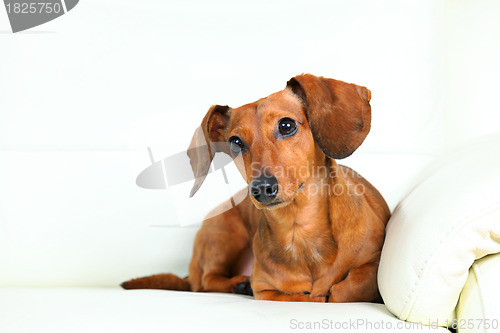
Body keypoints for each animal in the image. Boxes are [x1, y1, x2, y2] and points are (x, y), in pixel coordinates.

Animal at [121, 74, 390, 302]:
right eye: (235, 142)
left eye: (286, 126)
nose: (261, 188)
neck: (298, 228)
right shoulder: (266, 291)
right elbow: (300, 295)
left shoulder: (373, 264)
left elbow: (344, 289)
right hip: (224, 234)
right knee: (205, 282)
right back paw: (238, 284)